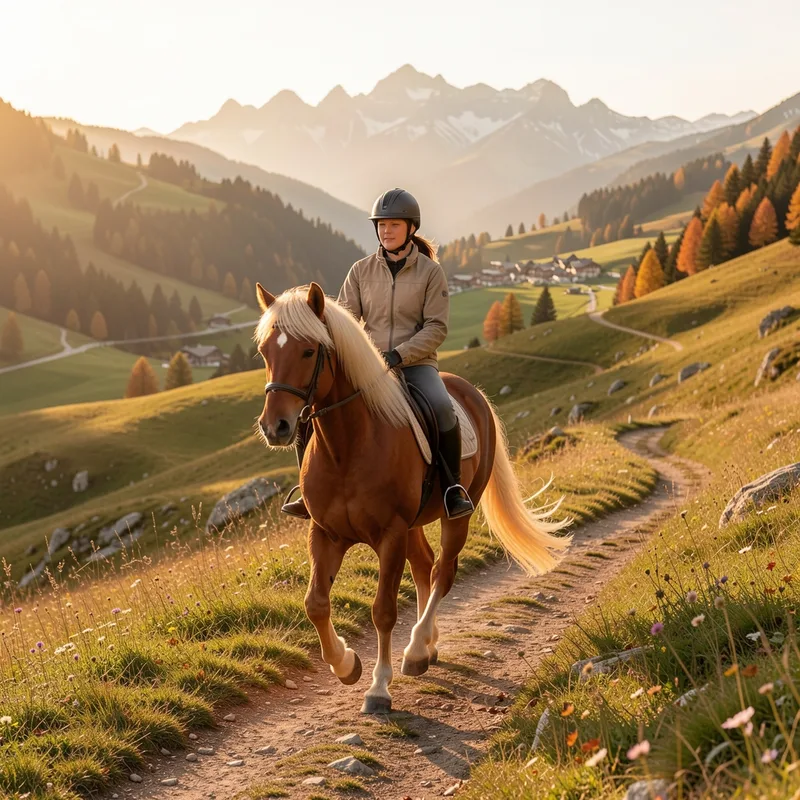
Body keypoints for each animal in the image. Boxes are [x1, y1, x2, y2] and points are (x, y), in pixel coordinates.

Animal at [254, 282, 571, 713]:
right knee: (424, 565)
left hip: (455, 515)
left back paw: (418, 649)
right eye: (265, 352)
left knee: (442, 572)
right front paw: (346, 664)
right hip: (415, 524)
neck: (348, 446)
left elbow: (384, 611)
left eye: (307, 350)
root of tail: (471, 393)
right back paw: (428, 645)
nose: (276, 426)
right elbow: (315, 603)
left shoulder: (390, 535)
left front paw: (378, 687)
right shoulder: (325, 534)